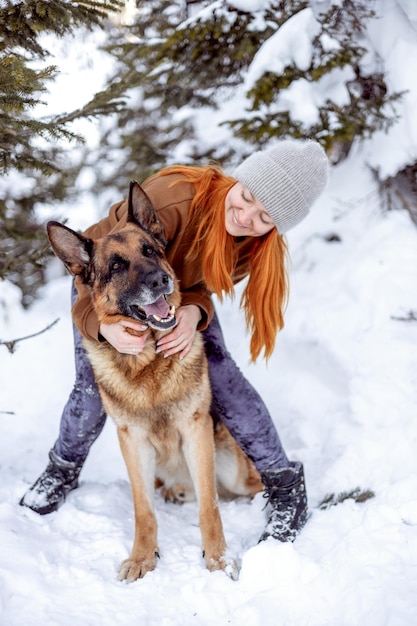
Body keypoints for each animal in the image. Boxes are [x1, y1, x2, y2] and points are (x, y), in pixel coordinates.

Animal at [44, 180, 260, 580]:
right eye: (116, 266)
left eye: (151, 251)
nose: (161, 280)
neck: (148, 365)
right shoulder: (133, 442)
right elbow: (143, 509)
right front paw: (143, 557)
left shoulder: (195, 430)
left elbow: (210, 506)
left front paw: (218, 558)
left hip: (230, 463)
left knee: (239, 488)